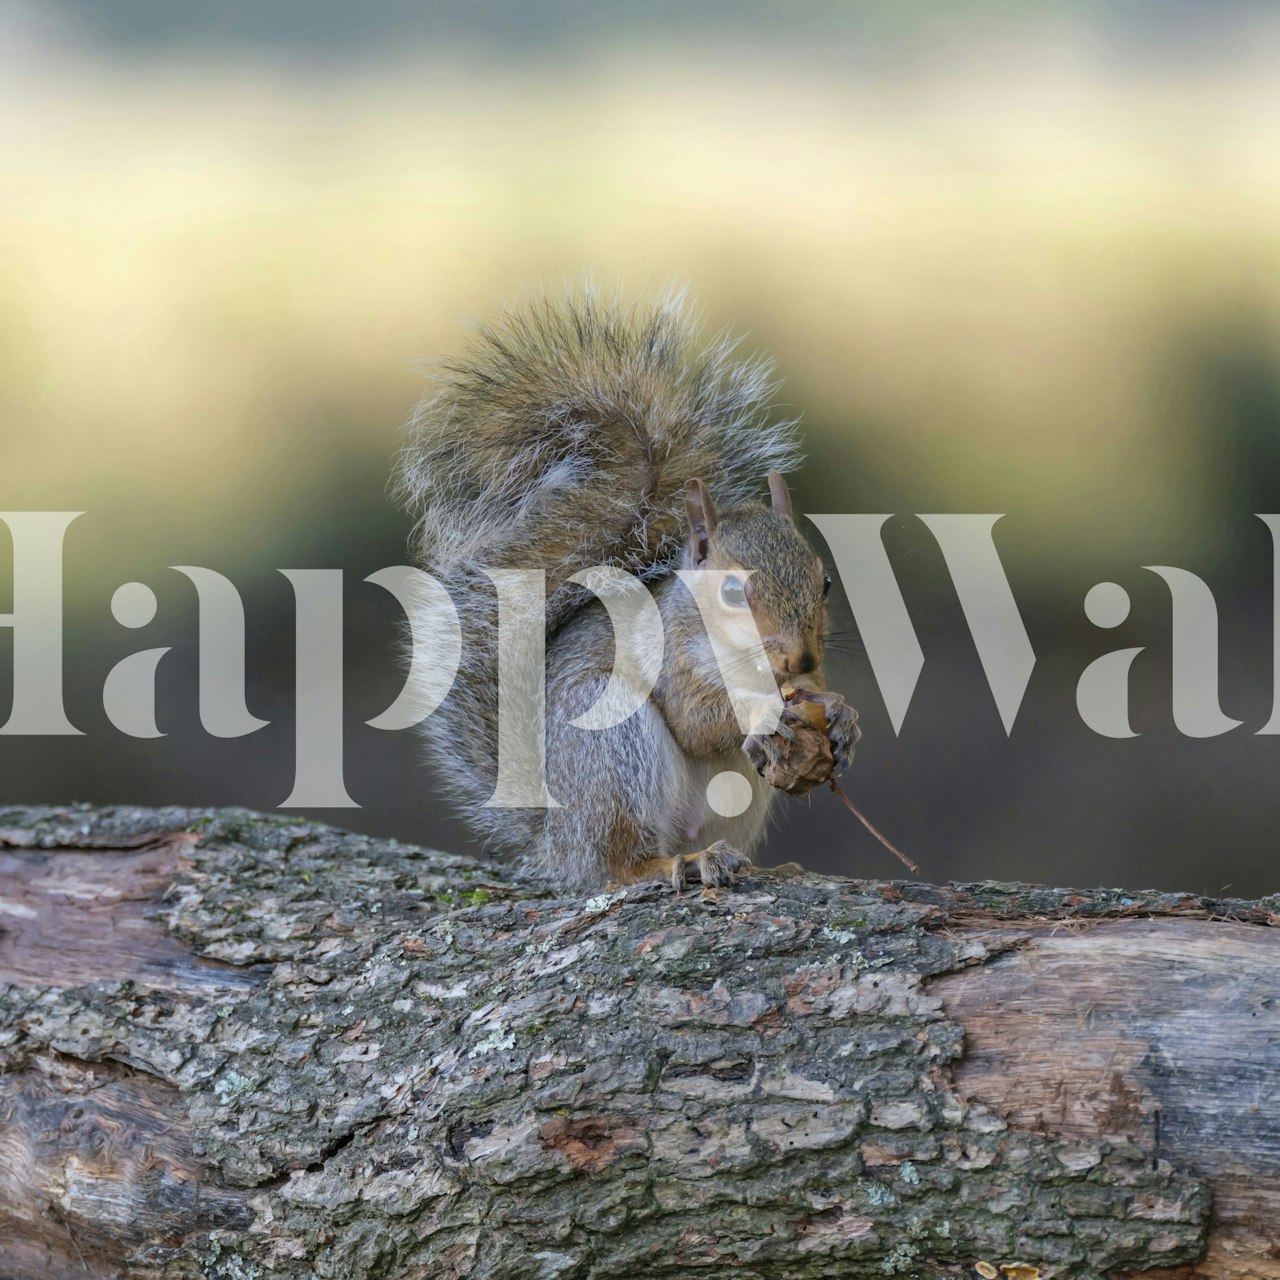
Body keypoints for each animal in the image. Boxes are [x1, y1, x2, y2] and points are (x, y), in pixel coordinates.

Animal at [396, 289, 859, 891]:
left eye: (824, 581)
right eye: (733, 593)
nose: (800, 657)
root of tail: (558, 846)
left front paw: (842, 714)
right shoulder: (668, 655)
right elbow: (696, 721)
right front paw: (768, 708)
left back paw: (751, 862)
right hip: (612, 743)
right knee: (619, 863)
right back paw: (674, 862)